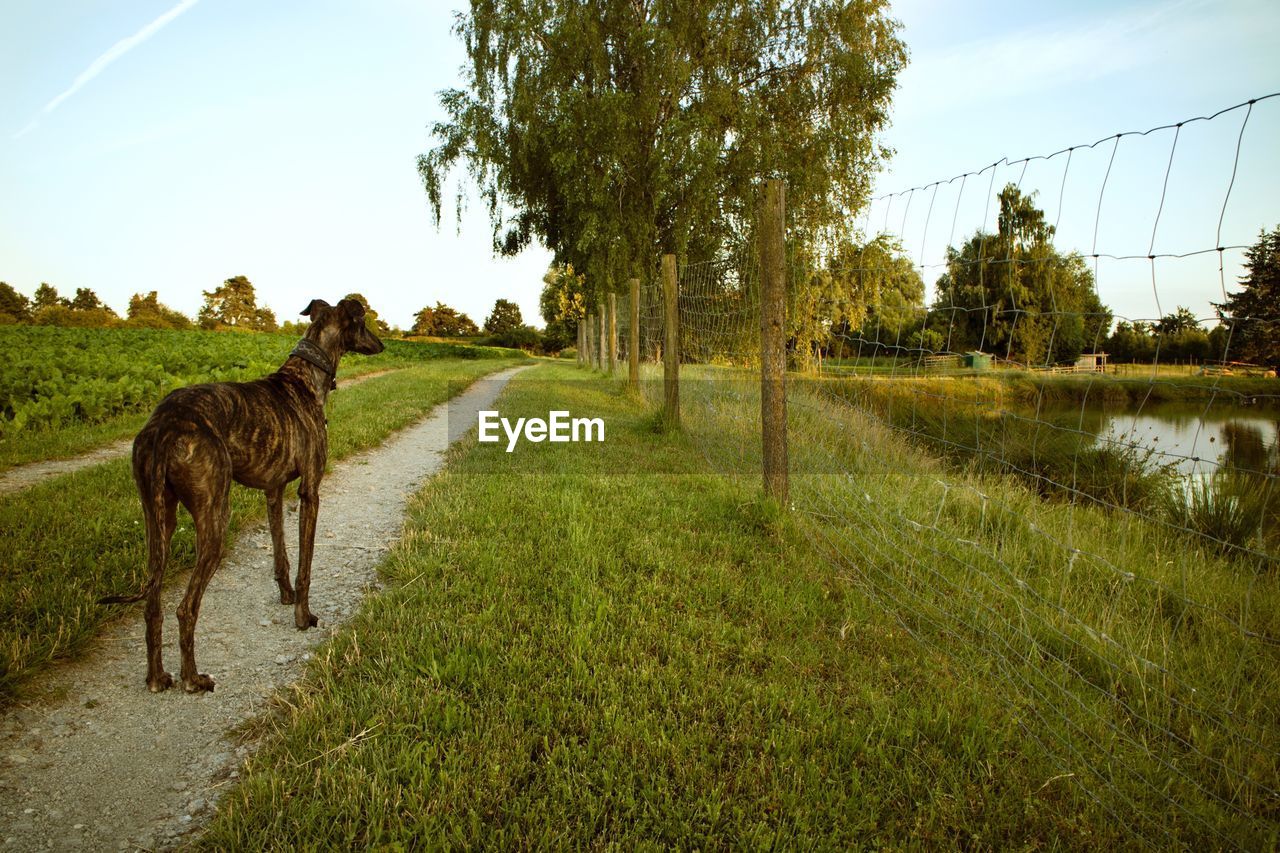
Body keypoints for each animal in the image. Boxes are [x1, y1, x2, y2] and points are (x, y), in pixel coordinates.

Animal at [101, 295, 381, 686]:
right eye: (363, 320)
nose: (382, 344)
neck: (304, 377)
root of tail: (166, 425)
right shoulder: (310, 492)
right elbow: (305, 565)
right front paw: (303, 616)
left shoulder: (273, 492)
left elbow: (281, 554)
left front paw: (286, 596)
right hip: (215, 515)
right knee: (185, 607)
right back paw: (193, 678)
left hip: (157, 518)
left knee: (153, 603)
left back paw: (157, 677)